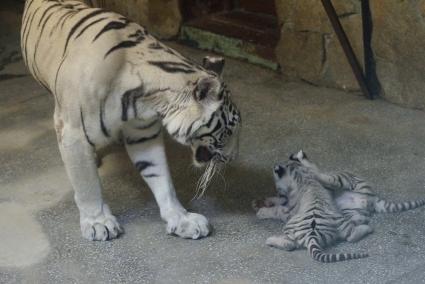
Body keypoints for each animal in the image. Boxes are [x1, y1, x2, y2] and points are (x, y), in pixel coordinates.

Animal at [21, 0, 240, 241]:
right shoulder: (73, 131)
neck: (146, 100)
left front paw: (181, 218)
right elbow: (87, 184)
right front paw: (98, 222)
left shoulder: (144, 134)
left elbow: (161, 177)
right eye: (229, 130)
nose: (231, 158)